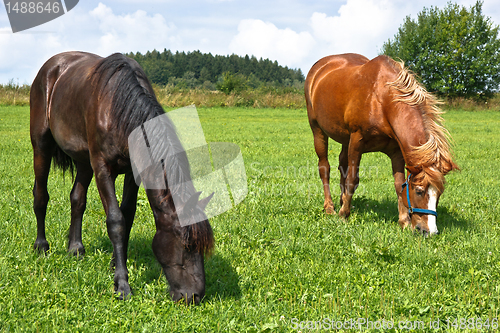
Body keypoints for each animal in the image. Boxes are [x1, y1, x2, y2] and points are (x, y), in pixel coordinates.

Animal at [29, 51, 213, 304]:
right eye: (185, 244)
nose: (194, 296)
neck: (119, 109)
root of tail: (51, 66)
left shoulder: (133, 172)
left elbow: (127, 215)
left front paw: (116, 264)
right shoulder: (102, 168)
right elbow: (116, 220)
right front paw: (122, 285)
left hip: (83, 161)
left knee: (77, 199)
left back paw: (75, 248)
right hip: (42, 146)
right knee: (41, 195)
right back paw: (41, 246)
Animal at [302, 53, 458, 235]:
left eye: (439, 193)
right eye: (419, 191)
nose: (429, 231)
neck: (382, 100)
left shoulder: (396, 151)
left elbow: (398, 184)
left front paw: (404, 221)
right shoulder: (356, 141)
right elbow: (352, 179)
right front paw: (343, 215)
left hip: (344, 138)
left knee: (342, 165)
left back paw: (342, 200)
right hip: (317, 130)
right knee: (324, 168)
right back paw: (330, 207)